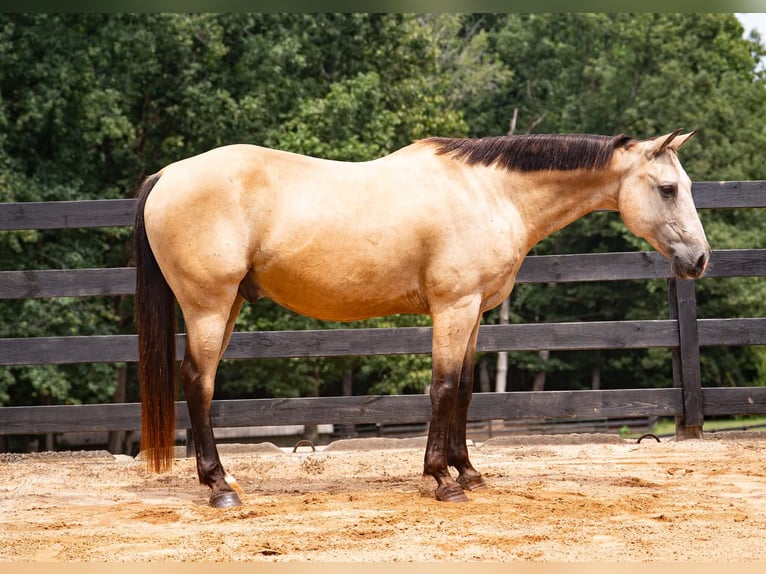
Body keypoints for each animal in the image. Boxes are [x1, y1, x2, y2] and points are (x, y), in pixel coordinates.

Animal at [133, 129, 710, 507]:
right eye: (668, 189)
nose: (700, 259)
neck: (490, 192)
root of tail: (167, 175)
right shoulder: (453, 306)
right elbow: (443, 388)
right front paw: (442, 479)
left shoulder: (475, 311)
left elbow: (465, 390)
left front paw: (468, 471)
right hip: (209, 307)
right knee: (199, 383)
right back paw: (219, 487)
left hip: (229, 304)